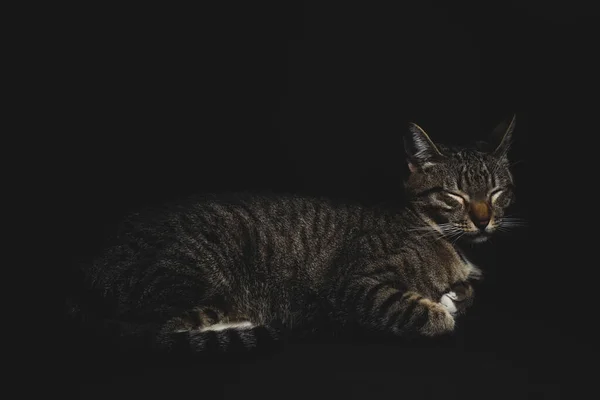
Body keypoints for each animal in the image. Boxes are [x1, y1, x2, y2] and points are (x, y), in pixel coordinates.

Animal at [69, 115, 520, 354]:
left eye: (497, 193)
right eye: (453, 195)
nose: (483, 221)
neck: (439, 234)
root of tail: (92, 263)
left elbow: (468, 290)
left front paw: (456, 293)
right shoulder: (356, 285)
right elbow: (418, 311)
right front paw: (443, 310)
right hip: (192, 275)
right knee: (158, 332)